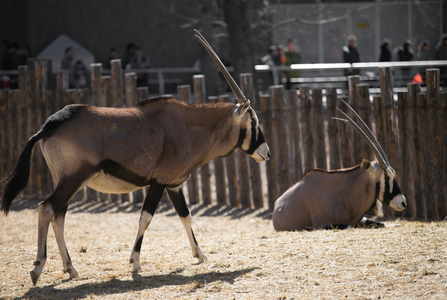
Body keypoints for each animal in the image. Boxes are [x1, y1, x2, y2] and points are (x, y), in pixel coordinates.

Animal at [1, 30, 272, 286]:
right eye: (254, 122)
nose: (267, 152)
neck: (187, 127)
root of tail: (50, 125)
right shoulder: (159, 182)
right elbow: (146, 218)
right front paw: (135, 263)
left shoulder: (174, 184)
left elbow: (185, 215)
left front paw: (200, 254)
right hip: (73, 179)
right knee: (46, 208)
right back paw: (37, 268)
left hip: (67, 182)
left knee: (58, 215)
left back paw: (71, 269)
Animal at [272, 99, 408, 231]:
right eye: (386, 176)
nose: (403, 202)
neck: (344, 192)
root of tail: (276, 205)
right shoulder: (321, 225)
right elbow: (350, 226)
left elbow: (380, 223)